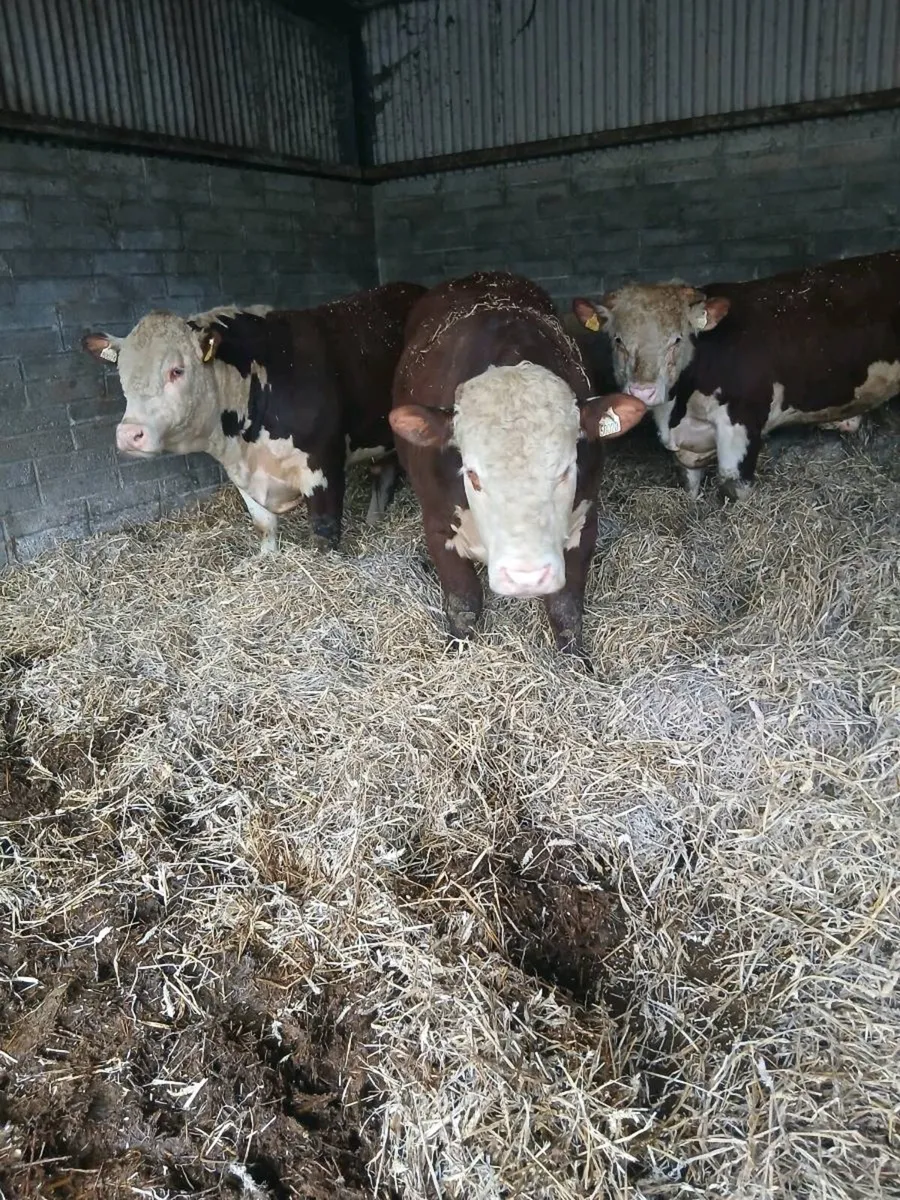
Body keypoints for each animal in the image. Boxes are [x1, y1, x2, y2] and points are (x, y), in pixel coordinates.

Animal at [82, 282, 426, 552]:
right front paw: (266, 557)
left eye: (176, 370)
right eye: (122, 373)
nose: (129, 434)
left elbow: (324, 532)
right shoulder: (243, 477)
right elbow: (264, 526)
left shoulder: (324, 467)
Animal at [389, 271, 646, 665]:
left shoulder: (585, 524)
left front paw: (577, 664)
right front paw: (456, 652)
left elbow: (565, 607)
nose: (527, 577)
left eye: (566, 470)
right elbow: (464, 602)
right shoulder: (437, 525)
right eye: (472, 475)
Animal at [572, 251, 900, 500]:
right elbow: (690, 483)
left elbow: (733, 485)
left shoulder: (743, 424)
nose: (642, 391)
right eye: (618, 340)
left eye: (677, 339)